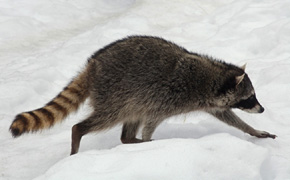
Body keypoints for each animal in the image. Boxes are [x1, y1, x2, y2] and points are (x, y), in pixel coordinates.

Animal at [9, 35, 276, 155]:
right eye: (250, 97)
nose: (262, 108)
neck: (213, 78)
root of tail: (93, 65)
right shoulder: (167, 97)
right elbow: (151, 122)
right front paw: (148, 140)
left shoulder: (211, 102)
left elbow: (229, 117)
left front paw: (252, 130)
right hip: (115, 94)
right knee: (104, 118)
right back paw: (83, 134)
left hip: (132, 98)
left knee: (129, 123)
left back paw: (130, 140)